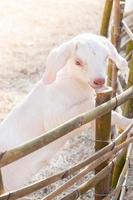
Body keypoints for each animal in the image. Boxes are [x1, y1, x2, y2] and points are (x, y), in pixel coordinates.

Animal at [0, 33, 131, 191]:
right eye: (77, 62)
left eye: (106, 58)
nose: (99, 81)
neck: (73, 84)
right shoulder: (53, 117)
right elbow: (88, 104)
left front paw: (128, 125)